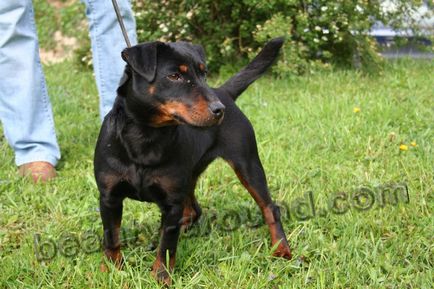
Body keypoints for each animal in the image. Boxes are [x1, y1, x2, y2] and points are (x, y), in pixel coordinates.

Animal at [95, 37, 292, 282]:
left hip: (247, 164)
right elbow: (111, 237)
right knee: (193, 209)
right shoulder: (109, 197)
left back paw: (281, 249)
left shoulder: (172, 202)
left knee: (269, 207)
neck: (145, 136)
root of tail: (224, 93)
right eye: (174, 76)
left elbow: (167, 246)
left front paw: (161, 276)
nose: (219, 109)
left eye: (203, 74)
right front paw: (111, 270)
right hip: (190, 175)